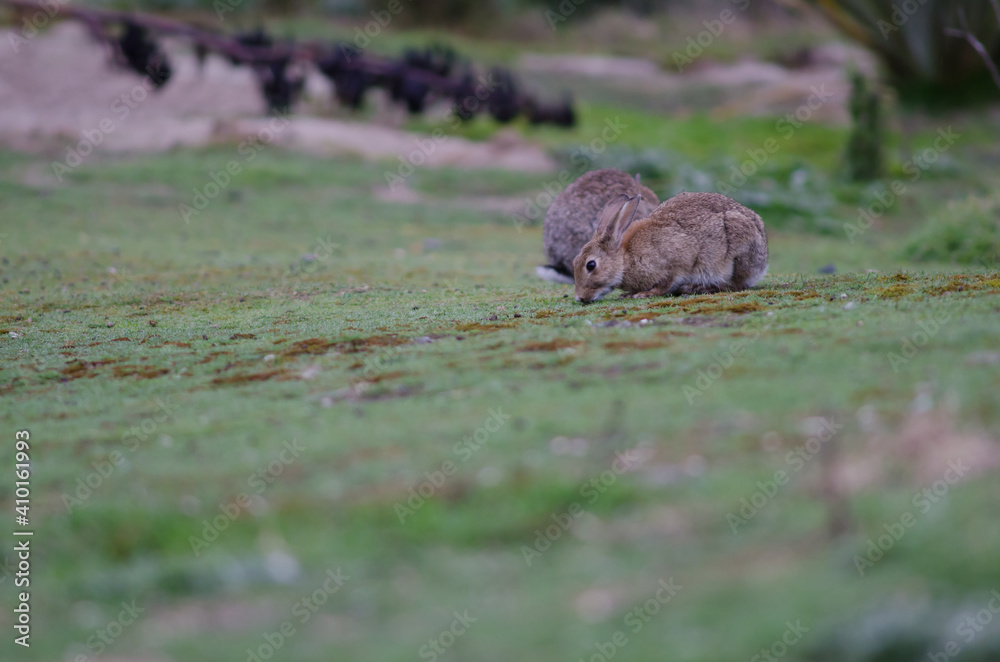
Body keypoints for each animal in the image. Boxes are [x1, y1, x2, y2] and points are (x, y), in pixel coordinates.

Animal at [572, 193, 772, 304]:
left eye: (591, 265)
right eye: (574, 261)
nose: (580, 298)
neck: (625, 258)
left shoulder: (675, 263)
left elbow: (665, 284)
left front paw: (644, 294)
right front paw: (629, 294)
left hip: (736, 253)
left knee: (736, 285)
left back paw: (697, 288)